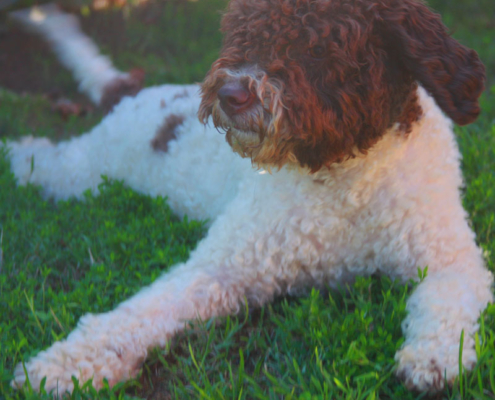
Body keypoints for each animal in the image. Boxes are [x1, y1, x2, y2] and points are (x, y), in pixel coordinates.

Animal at [5, 0, 494, 396]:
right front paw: (64, 365)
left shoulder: (451, 255)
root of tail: (132, 94)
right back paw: (13, 153)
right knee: (42, 158)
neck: (342, 178)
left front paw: (433, 357)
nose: (230, 93)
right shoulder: (223, 267)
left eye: (317, 44)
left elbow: (448, 300)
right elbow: (140, 312)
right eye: (243, 32)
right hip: (83, 170)